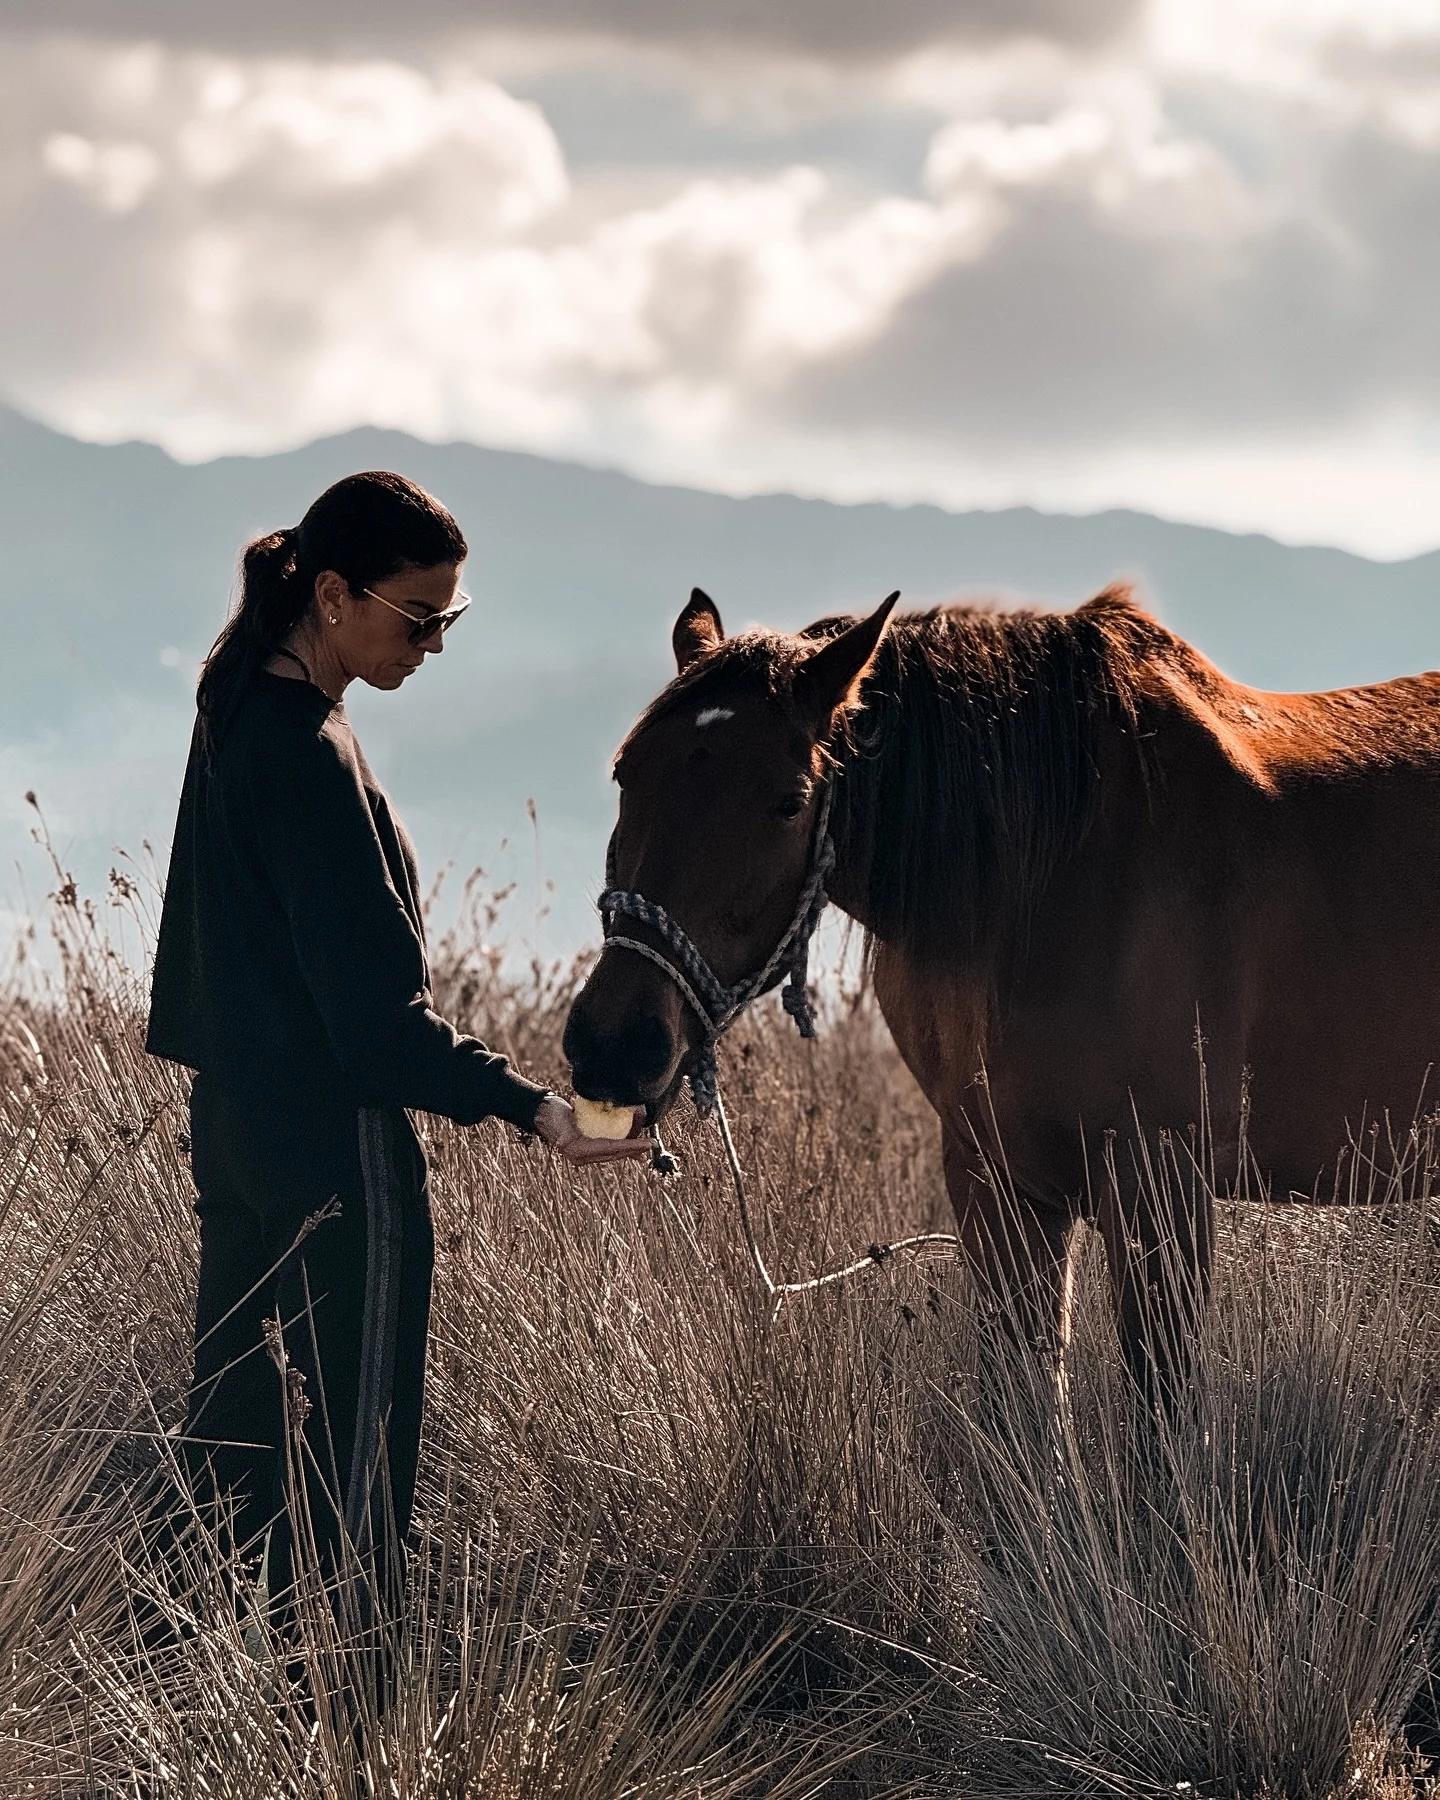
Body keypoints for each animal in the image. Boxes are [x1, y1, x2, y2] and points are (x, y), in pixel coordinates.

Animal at [565, 583, 1440, 1396]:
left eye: (788, 802)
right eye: (623, 774)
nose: (614, 1043)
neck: (1058, 877)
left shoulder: (1162, 1188)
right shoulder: (1000, 1186)